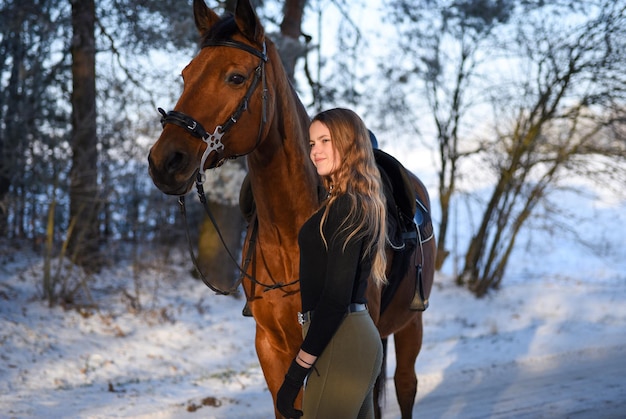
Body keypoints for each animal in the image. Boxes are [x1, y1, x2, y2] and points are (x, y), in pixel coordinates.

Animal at [147, 1, 434, 418]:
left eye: (236, 77)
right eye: (186, 75)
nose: (165, 162)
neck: (289, 237)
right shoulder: (271, 348)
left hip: (411, 325)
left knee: (405, 385)